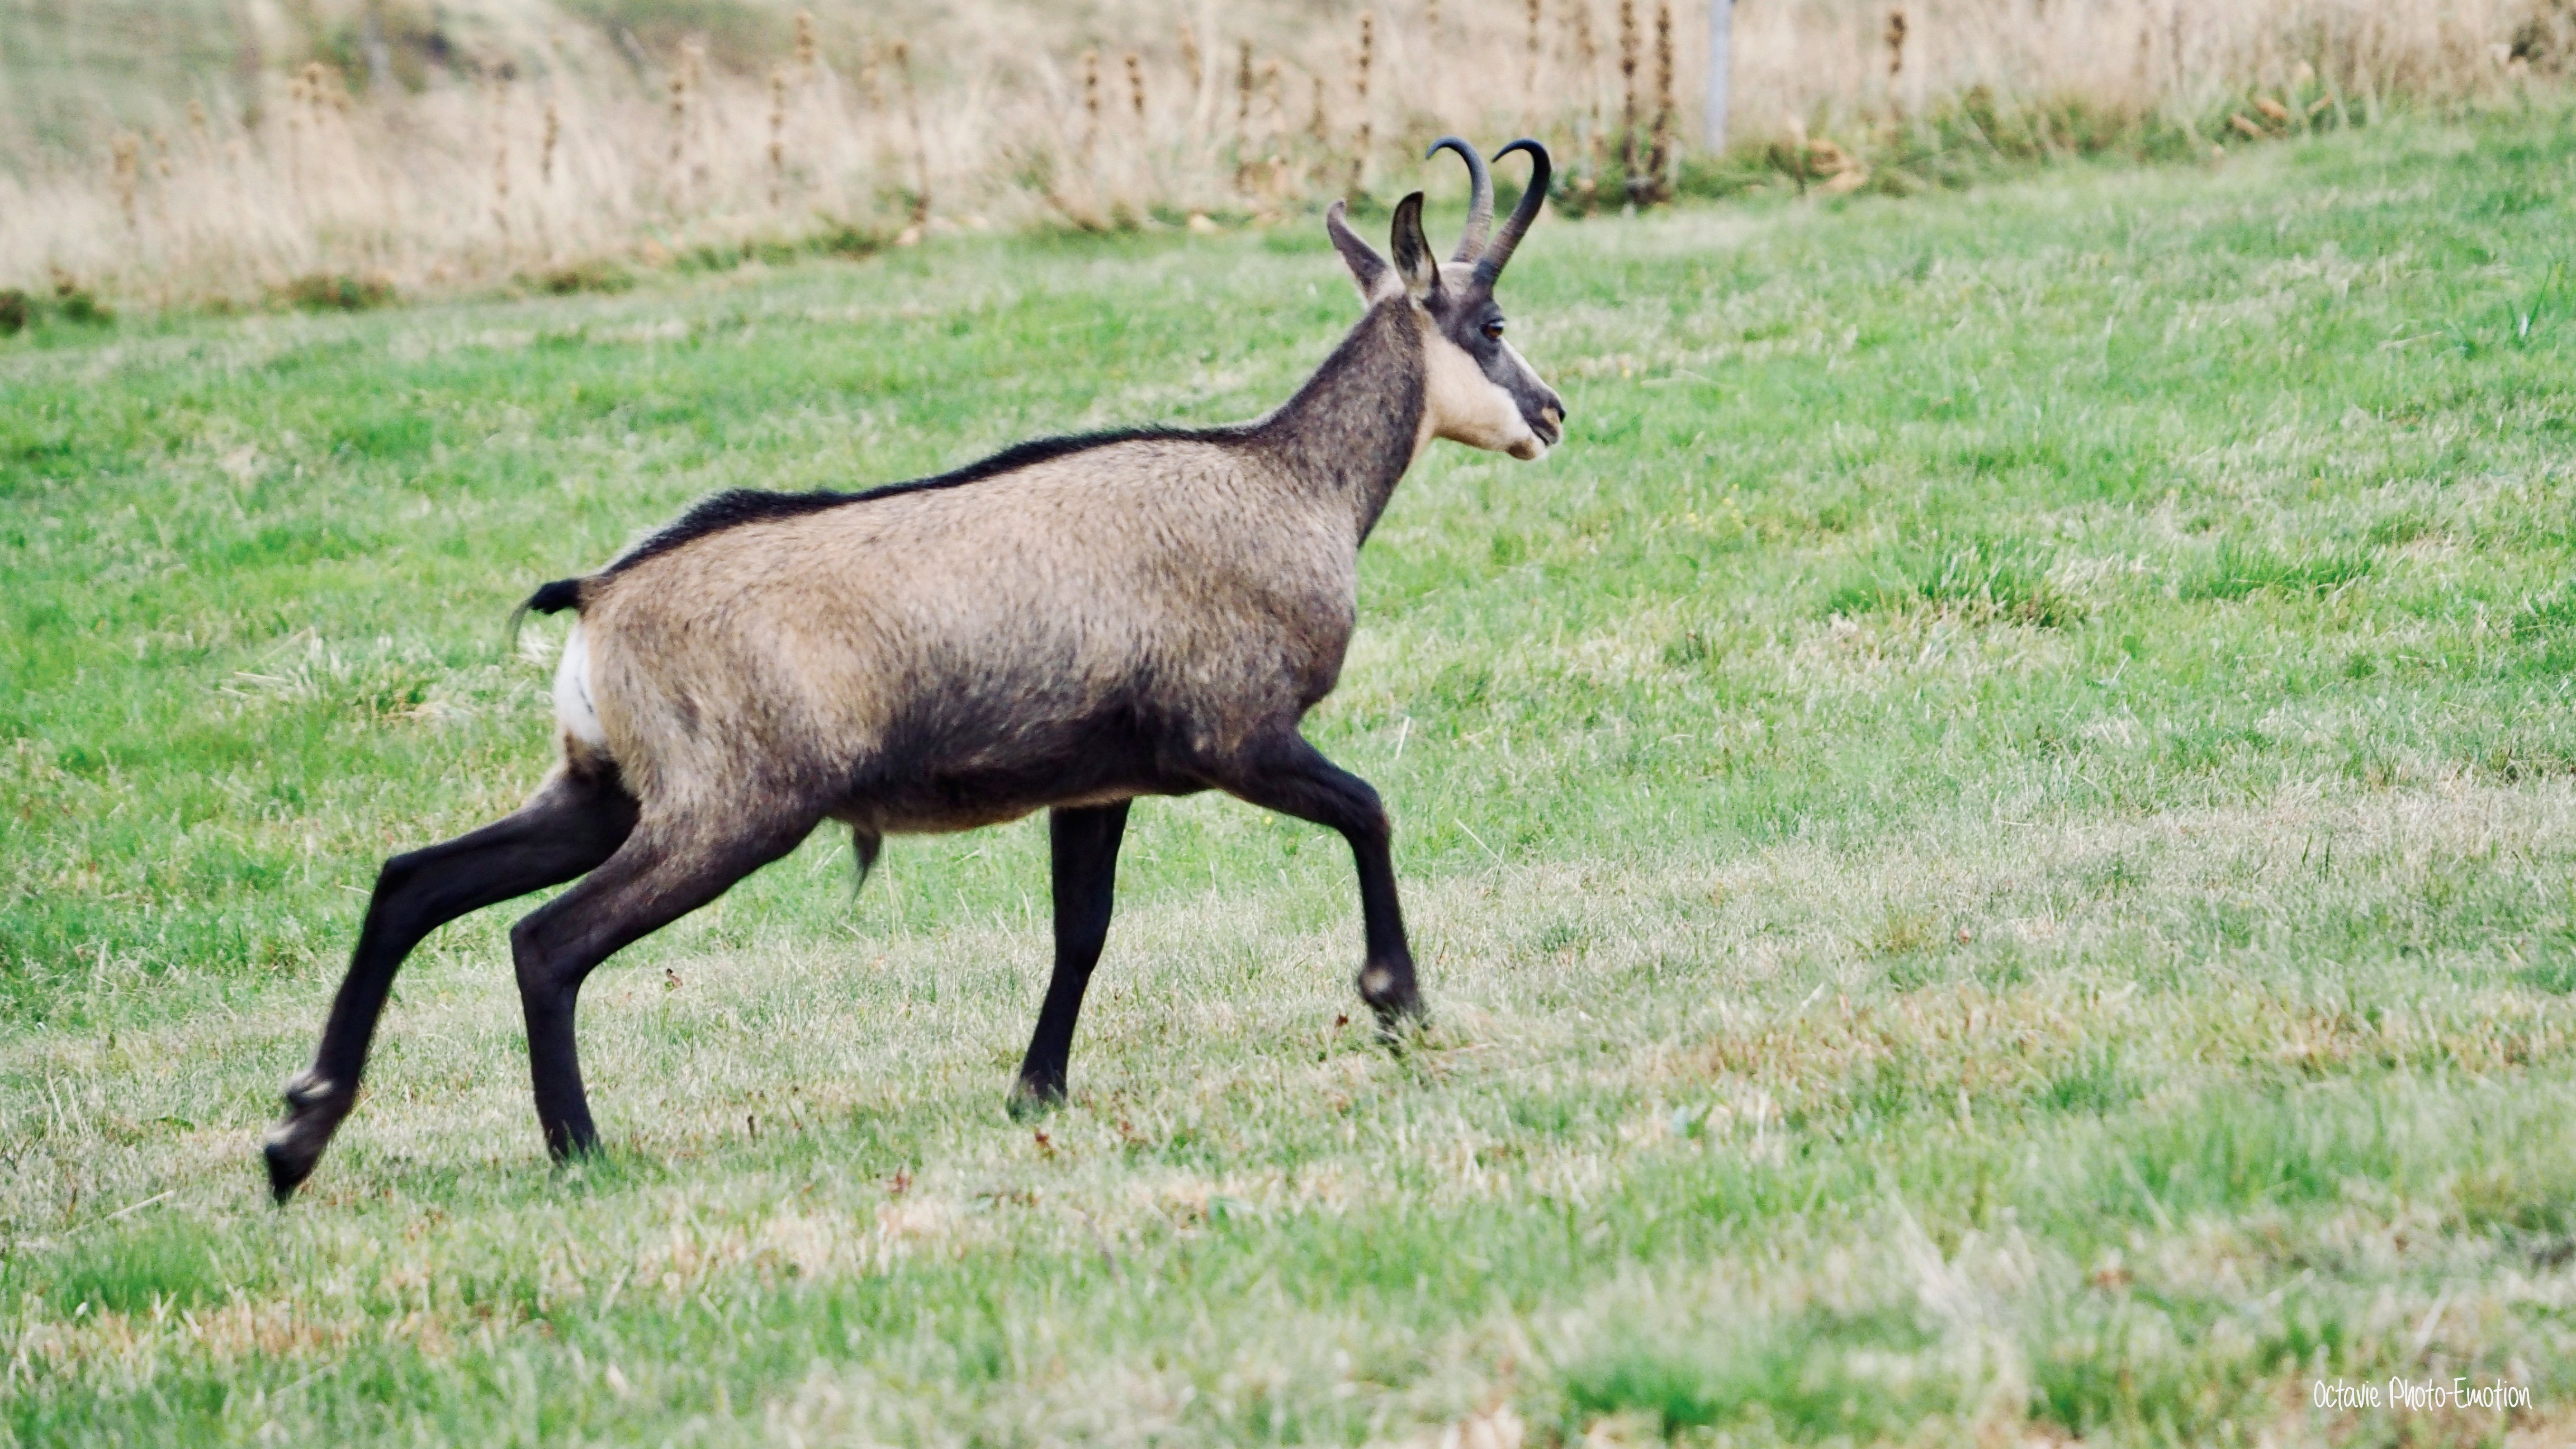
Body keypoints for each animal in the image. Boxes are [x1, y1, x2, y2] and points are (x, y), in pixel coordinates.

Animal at [263, 138, 1565, 1201]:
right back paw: (577, 1152)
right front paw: (1397, 1001)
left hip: (603, 789)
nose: (1552, 413)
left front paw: (1036, 1089)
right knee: (546, 941)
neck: (1290, 487)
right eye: (1492, 326)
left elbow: (1082, 930)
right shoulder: (1235, 736)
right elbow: (1369, 810)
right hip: (731, 805)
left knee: (412, 882)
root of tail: (600, 597)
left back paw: (297, 1136)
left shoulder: (1098, 783)